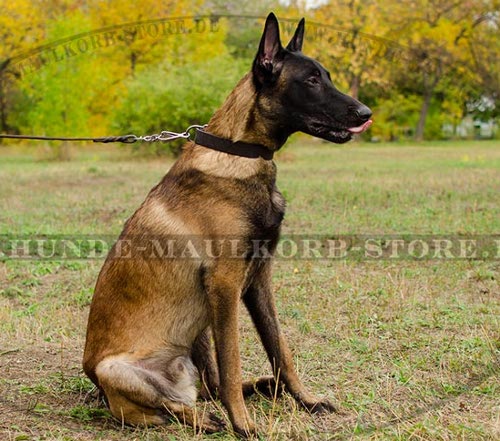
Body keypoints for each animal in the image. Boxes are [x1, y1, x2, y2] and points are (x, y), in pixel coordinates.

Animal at [83, 12, 372, 434]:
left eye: (328, 76)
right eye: (311, 81)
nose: (366, 114)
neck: (241, 152)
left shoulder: (259, 279)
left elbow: (280, 348)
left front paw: (306, 400)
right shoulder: (225, 284)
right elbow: (232, 361)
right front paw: (244, 425)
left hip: (198, 332)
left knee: (209, 386)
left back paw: (262, 389)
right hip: (118, 368)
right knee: (179, 404)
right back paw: (208, 418)